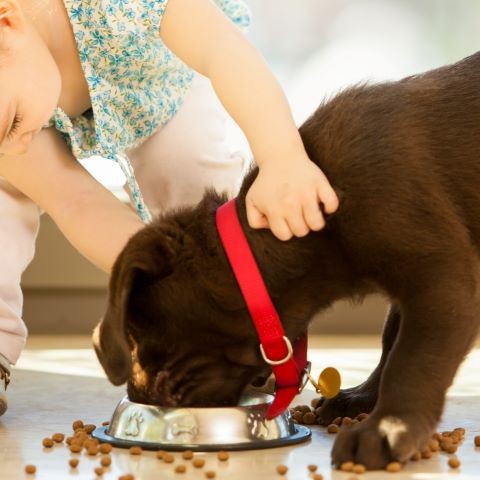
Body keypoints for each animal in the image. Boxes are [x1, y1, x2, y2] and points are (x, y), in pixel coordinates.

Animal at [93, 52, 480, 468]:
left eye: (135, 329)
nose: (139, 396)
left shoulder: (440, 276)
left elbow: (412, 359)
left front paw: (387, 430)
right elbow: (392, 338)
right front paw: (362, 399)